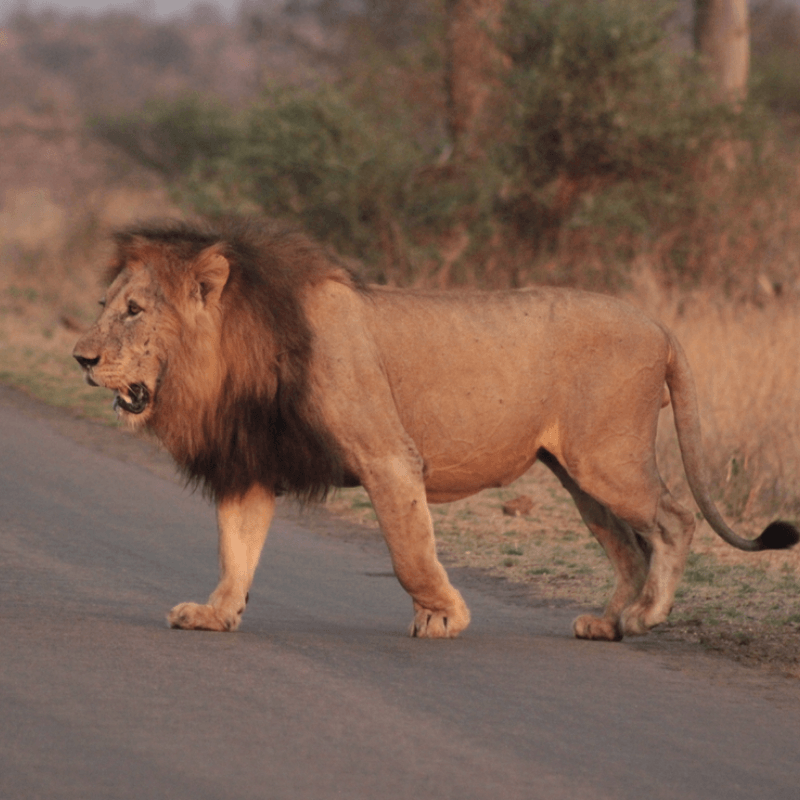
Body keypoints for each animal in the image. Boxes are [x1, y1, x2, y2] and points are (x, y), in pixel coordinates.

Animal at [72, 216, 796, 640]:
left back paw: (646, 615)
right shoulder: (250, 462)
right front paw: (217, 614)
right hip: (578, 474)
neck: (229, 358)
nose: (81, 358)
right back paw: (610, 622)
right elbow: (235, 548)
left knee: (673, 520)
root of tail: (659, 325)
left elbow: (408, 547)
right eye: (104, 305)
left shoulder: (388, 455)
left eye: (134, 311)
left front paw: (444, 613)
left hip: (606, 459)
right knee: (626, 544)